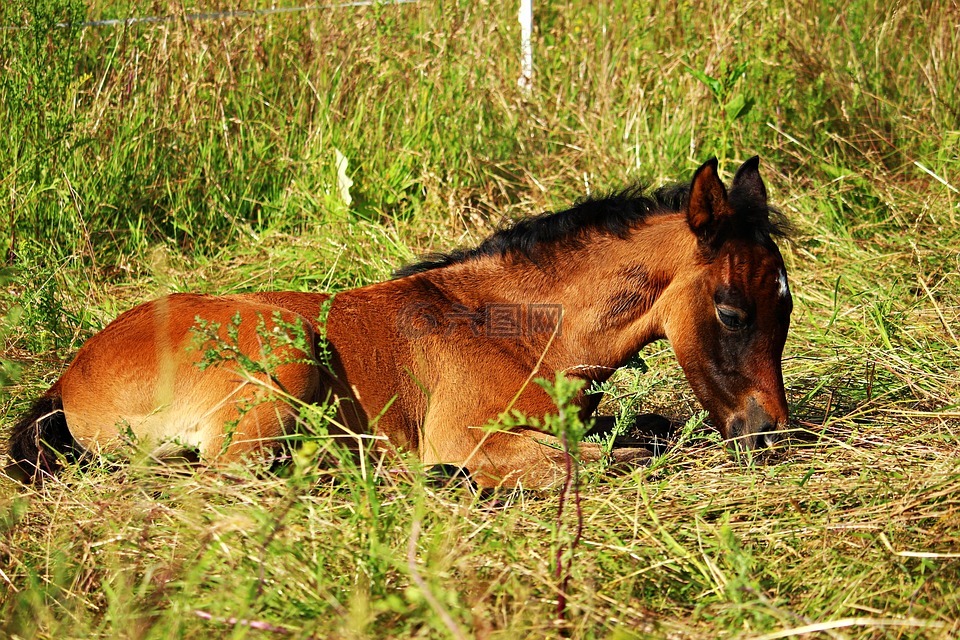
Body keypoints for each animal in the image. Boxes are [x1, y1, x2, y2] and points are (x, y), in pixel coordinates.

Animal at [7, 156, 792, 488]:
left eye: (787, 307)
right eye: (730, 310)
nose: (772, 434)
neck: (518, 330)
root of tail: (68, 375)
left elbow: (642, 433)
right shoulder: (470, 432)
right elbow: (602, 460)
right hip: (281, 357)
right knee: (237, 477)